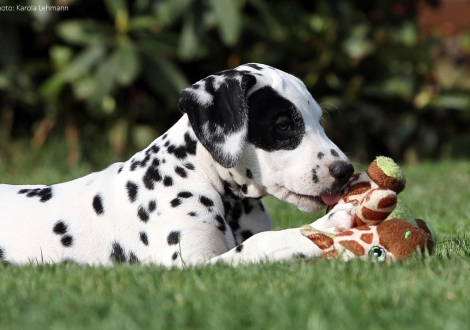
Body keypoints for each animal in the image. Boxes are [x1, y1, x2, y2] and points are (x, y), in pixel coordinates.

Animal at [0, 63, 354, 266]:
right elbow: (259, 244)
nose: (345, 171)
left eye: (320, 120)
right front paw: (327, 227)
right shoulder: (192, 266)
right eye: (282, 124)